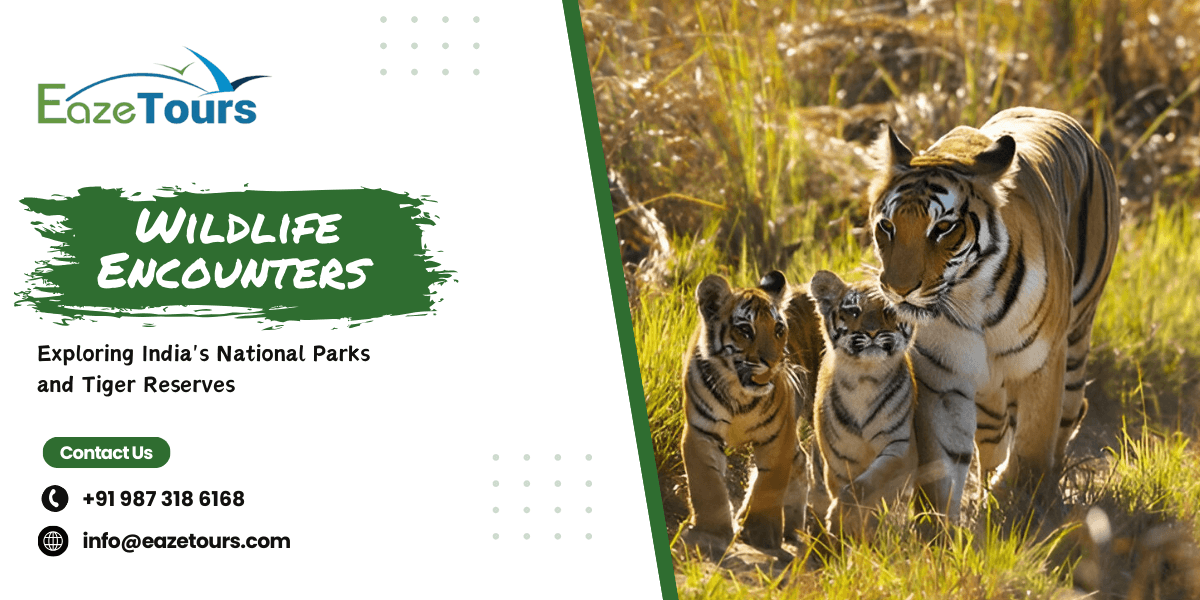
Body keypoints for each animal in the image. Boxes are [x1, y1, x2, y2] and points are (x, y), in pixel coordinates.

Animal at [680, 270, 824, 556]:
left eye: (779, 329)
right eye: (745, 330)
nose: (773, 361)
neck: (739, 394)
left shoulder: (778, 435)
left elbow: (768, 485)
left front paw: (761, 534)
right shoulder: (701, 432)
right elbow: (706, 484)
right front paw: (711, 533)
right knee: (801, 459)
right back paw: (793, 528)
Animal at [809, 270, 918, 539]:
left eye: (889, 311)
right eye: (854, 311)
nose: (872, 332)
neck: (864, 380)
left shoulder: (899, 447)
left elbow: (866, 485)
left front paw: (841, 515)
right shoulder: (838, 460)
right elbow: (843, 489)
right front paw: (840, 527)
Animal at [866, 107, 1120, 522]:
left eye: (943, 228)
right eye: (887, 226)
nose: (899, 289)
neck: (971, 297)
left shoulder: (1041, 364)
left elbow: (1032, 446)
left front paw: (1020, 502)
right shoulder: (944, 376)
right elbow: (941, 464)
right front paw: (937, 527)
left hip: (1075, 343)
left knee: (1070, 413)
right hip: (989, 386)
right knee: (994, 431)